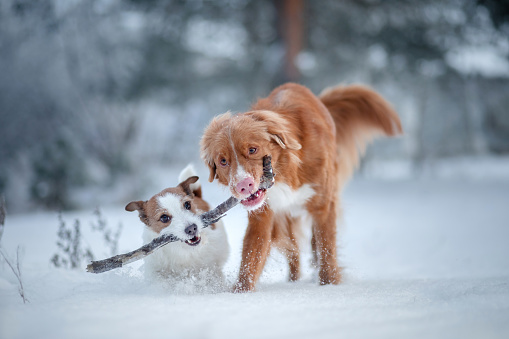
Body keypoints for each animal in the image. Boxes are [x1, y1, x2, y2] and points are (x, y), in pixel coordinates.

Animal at [198, 83, 400, 292]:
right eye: (223, 161)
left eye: (253, 150)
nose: (243, 185)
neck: (285, 171)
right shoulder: (262, 218)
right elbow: (250, 258)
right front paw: (240, 292)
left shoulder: (323, 206)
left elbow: (327, 251)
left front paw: (329, 286)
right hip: (285, 220)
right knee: (293, 254)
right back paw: (293, 282)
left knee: (316, 245)